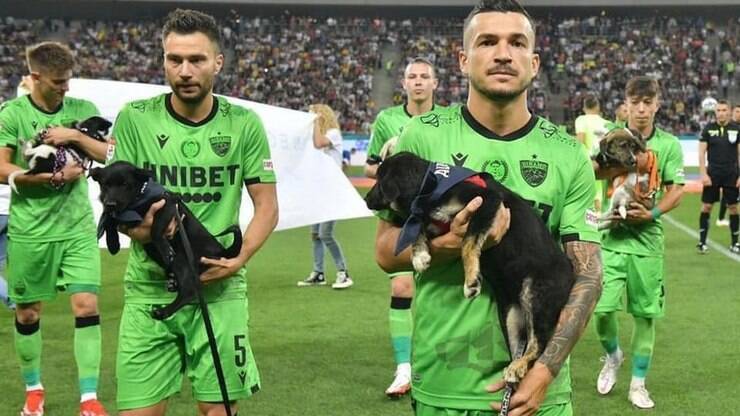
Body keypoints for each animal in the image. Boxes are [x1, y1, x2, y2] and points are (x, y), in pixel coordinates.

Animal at [362, 153, 572, 386]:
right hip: (511, 316)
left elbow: (468, 243)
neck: (431, 188)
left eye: (379, 180)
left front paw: (471, 280)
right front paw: (419, 255)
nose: (365, 199)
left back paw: (518, 367)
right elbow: (417, 227)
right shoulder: (437, 223)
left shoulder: (486, 201)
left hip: (536, 295)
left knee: (540, 344)